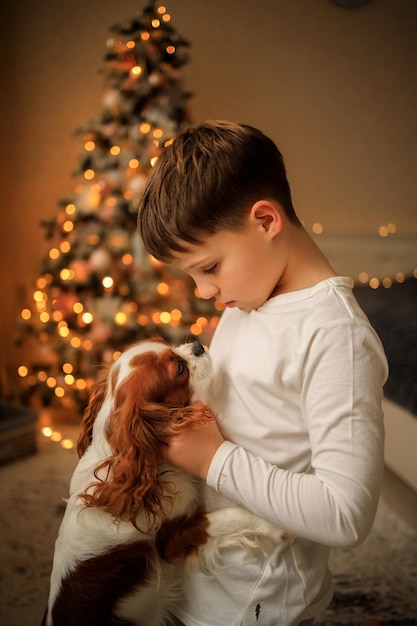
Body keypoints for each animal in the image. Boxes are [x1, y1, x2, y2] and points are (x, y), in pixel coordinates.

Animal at [42, 338, 290, 620]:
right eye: (179, 369)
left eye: (165, 342)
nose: (197, 345)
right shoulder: (170, 541)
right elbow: (222, 519)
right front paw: (274, 527)